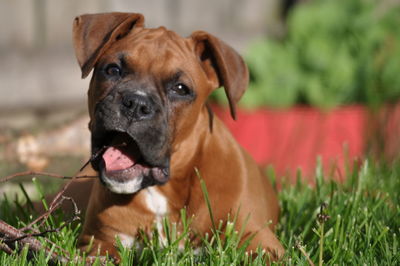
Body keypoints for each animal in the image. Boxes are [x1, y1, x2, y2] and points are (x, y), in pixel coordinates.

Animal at [72, 11, 284, 260]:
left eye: (181, 89)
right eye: (113, 70)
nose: (136, 104)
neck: (161, 190)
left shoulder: (260, 241)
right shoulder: (97, 243)